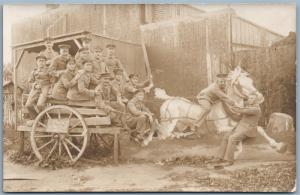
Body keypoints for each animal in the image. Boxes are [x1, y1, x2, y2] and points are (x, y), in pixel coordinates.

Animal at [144, 66, 288, 155]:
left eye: (251, 81)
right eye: (239, 84)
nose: (260, 97)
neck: (228, 110)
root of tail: (169, 99)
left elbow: (260, 129)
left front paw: (277, 146)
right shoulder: (220, 129)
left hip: (181, 124)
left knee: (169, 133)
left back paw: (183, 135)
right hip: (169, 122)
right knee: (160, 131)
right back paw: (148, 140)